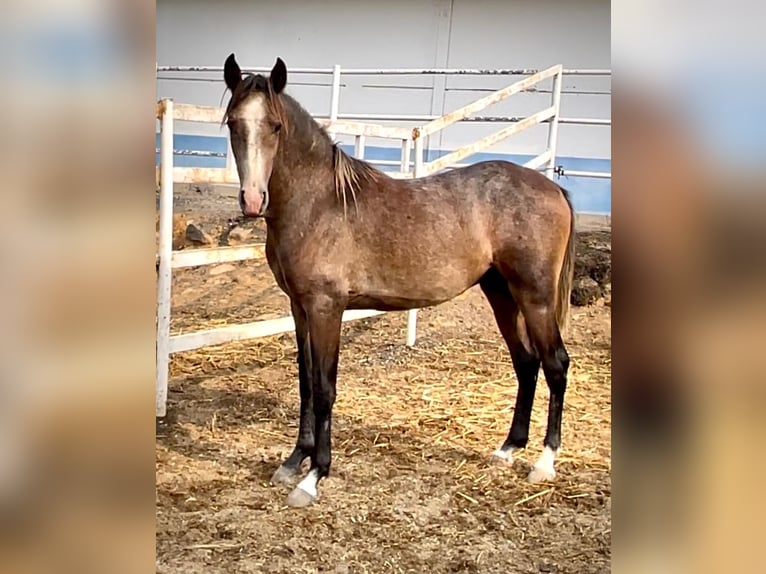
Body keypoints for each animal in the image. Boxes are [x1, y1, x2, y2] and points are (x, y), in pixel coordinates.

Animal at [222, 56, 576, 510]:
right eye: (234, 123)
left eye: (276, 126)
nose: (252, 201)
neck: (321, 204)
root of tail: (552, 187)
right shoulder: (299, 307)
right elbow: (305, 382)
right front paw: (293, 461)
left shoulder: (326, 308)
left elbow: (324, 388)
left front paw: (315, 476)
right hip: (502, 293)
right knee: (527, 363)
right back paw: (507, 449)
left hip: (536, 297)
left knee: (555, 364)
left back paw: (544, 462)